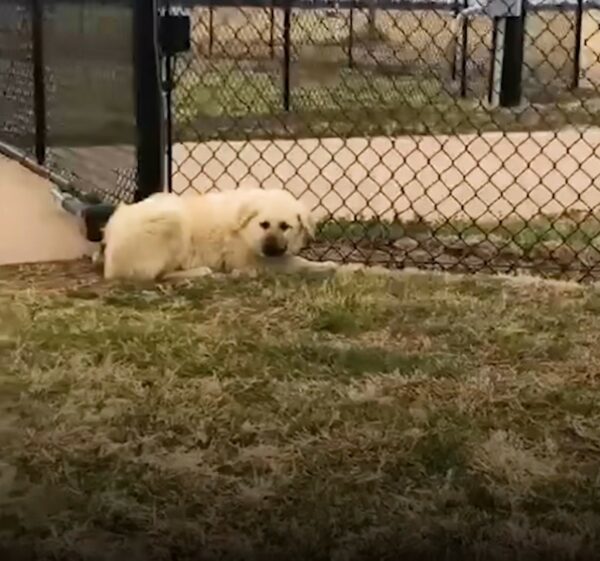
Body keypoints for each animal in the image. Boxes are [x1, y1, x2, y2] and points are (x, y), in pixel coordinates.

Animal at [99, 188, 380, 282]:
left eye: (285, 226)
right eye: (264, 224)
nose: (271, 249)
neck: (246, 231)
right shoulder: (253, 259)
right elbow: (303, 264)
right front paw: (340, 267)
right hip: (171, 219)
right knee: (158, 275)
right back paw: (206, 273)